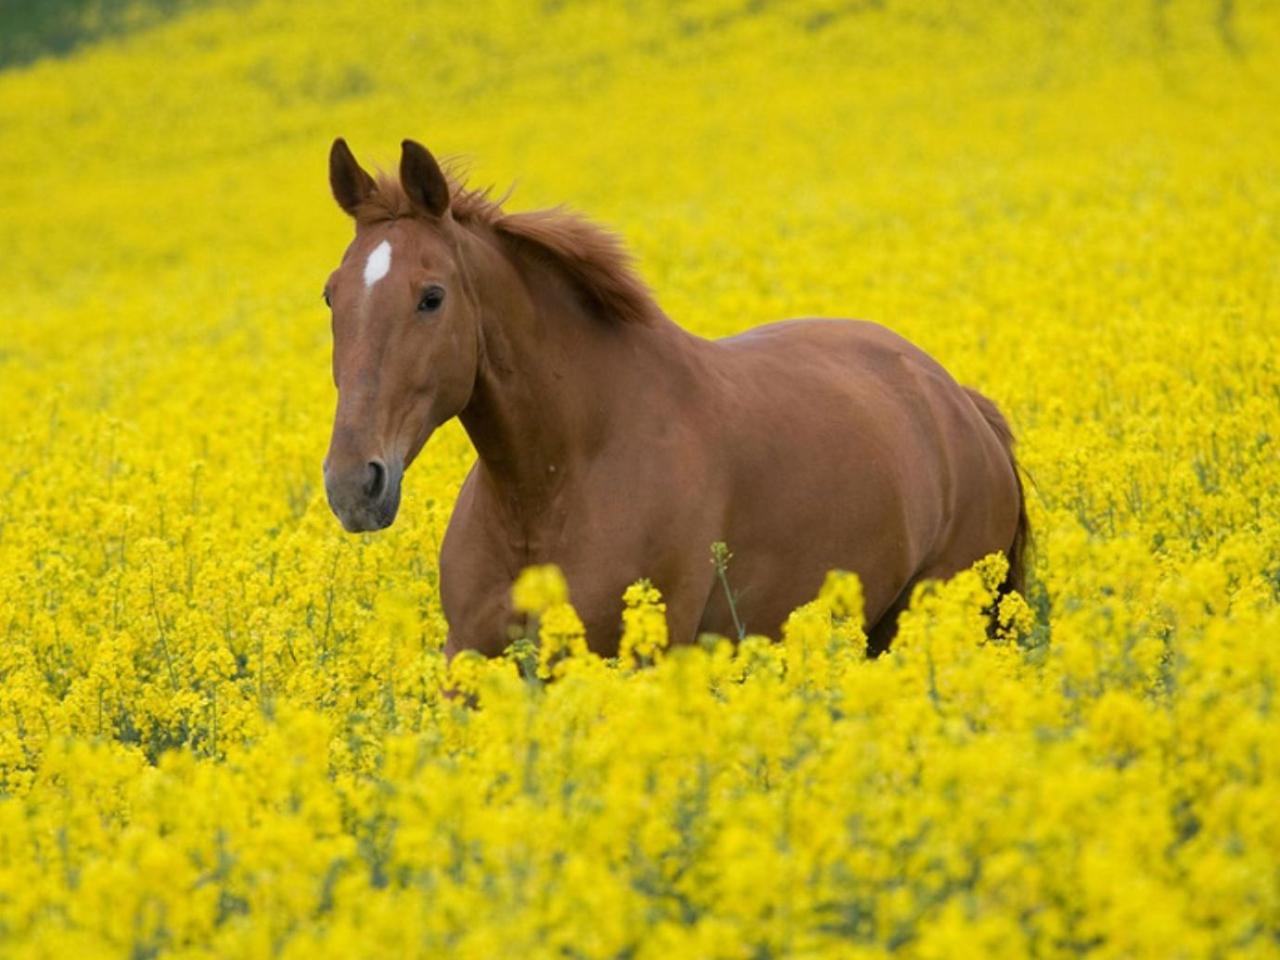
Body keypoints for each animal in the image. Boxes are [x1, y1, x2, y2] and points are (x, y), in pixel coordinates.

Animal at [322, 136, 1029, 660]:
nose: (354, 484)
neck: (552, 485)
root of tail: (959, 402)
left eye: (431, 296)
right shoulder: (470, 660)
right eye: (332, 294)